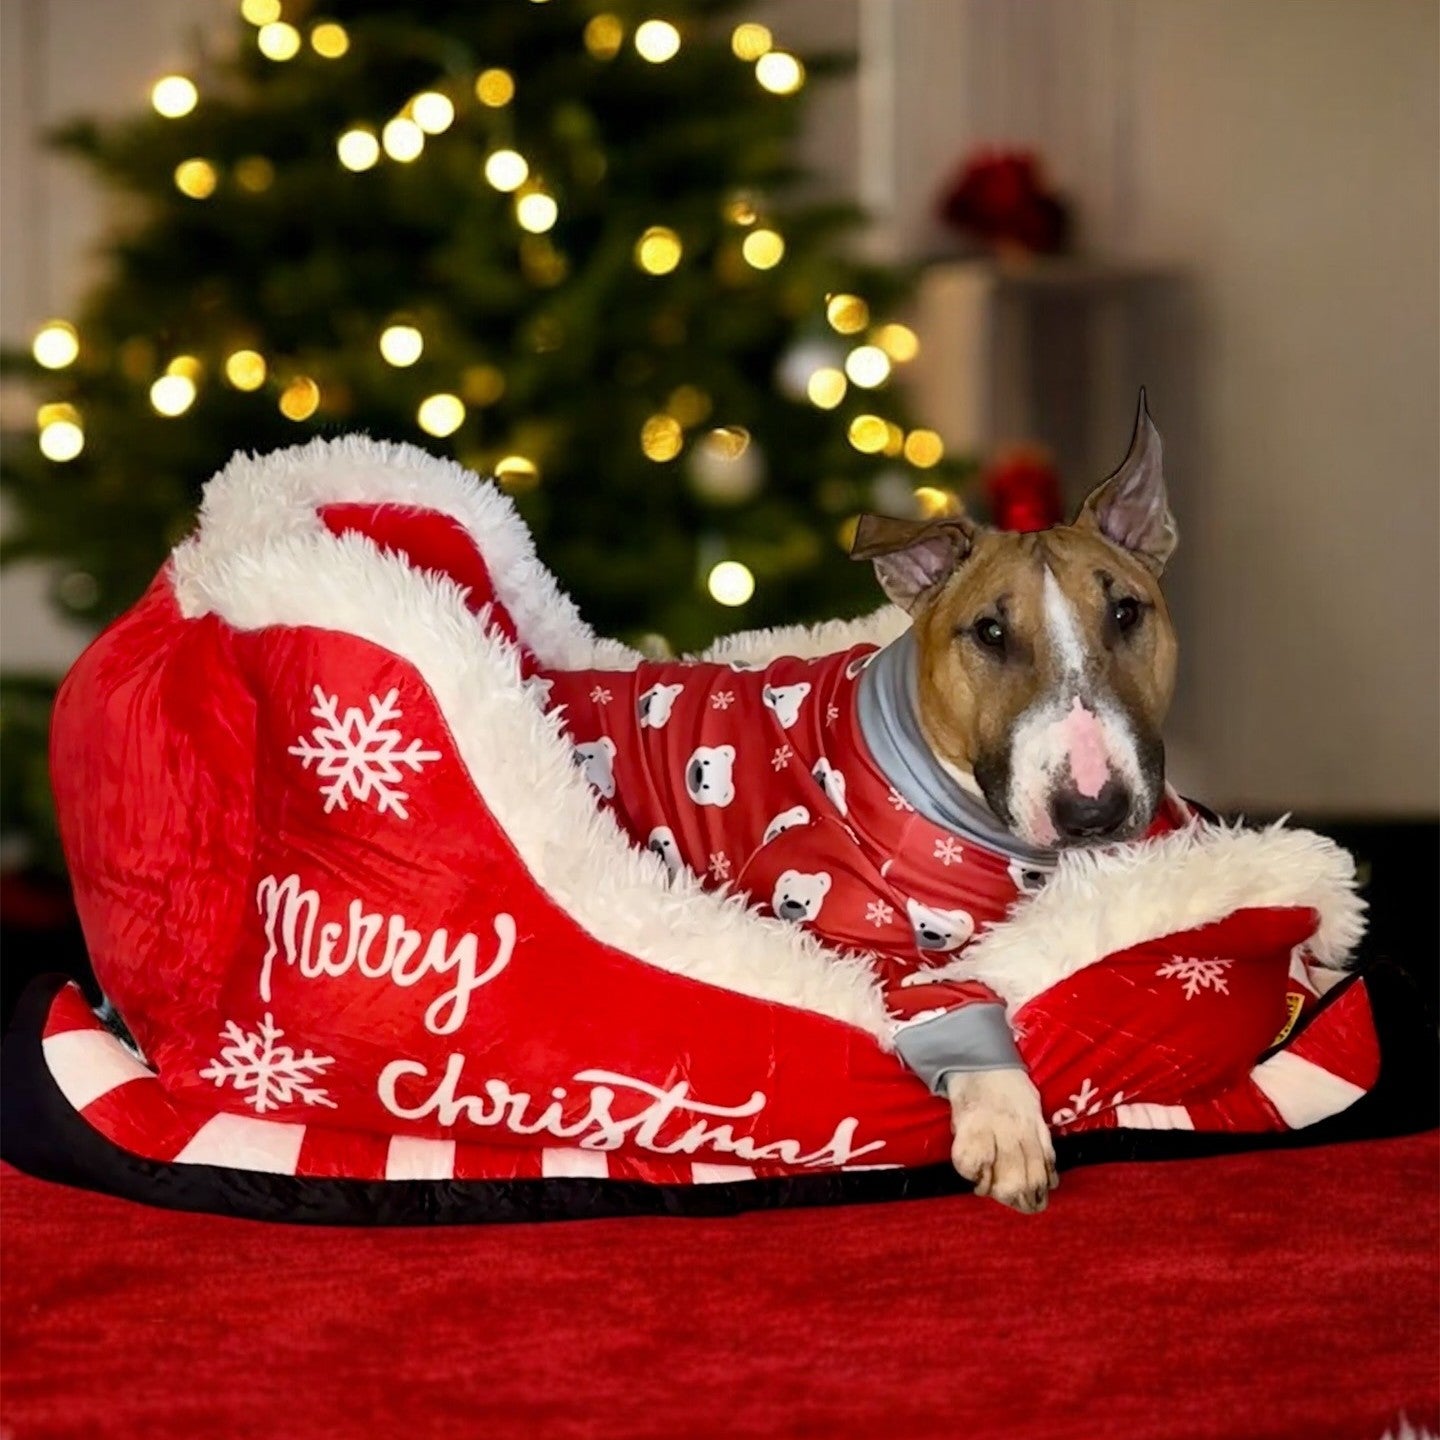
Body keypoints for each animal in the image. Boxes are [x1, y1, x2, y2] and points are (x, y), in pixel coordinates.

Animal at [545, 392, 1179, 1212]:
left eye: (1127, 613)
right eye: (990, 632)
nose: (1094, 812)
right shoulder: (850, 931)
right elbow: (954, 995)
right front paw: (1008, 1126)